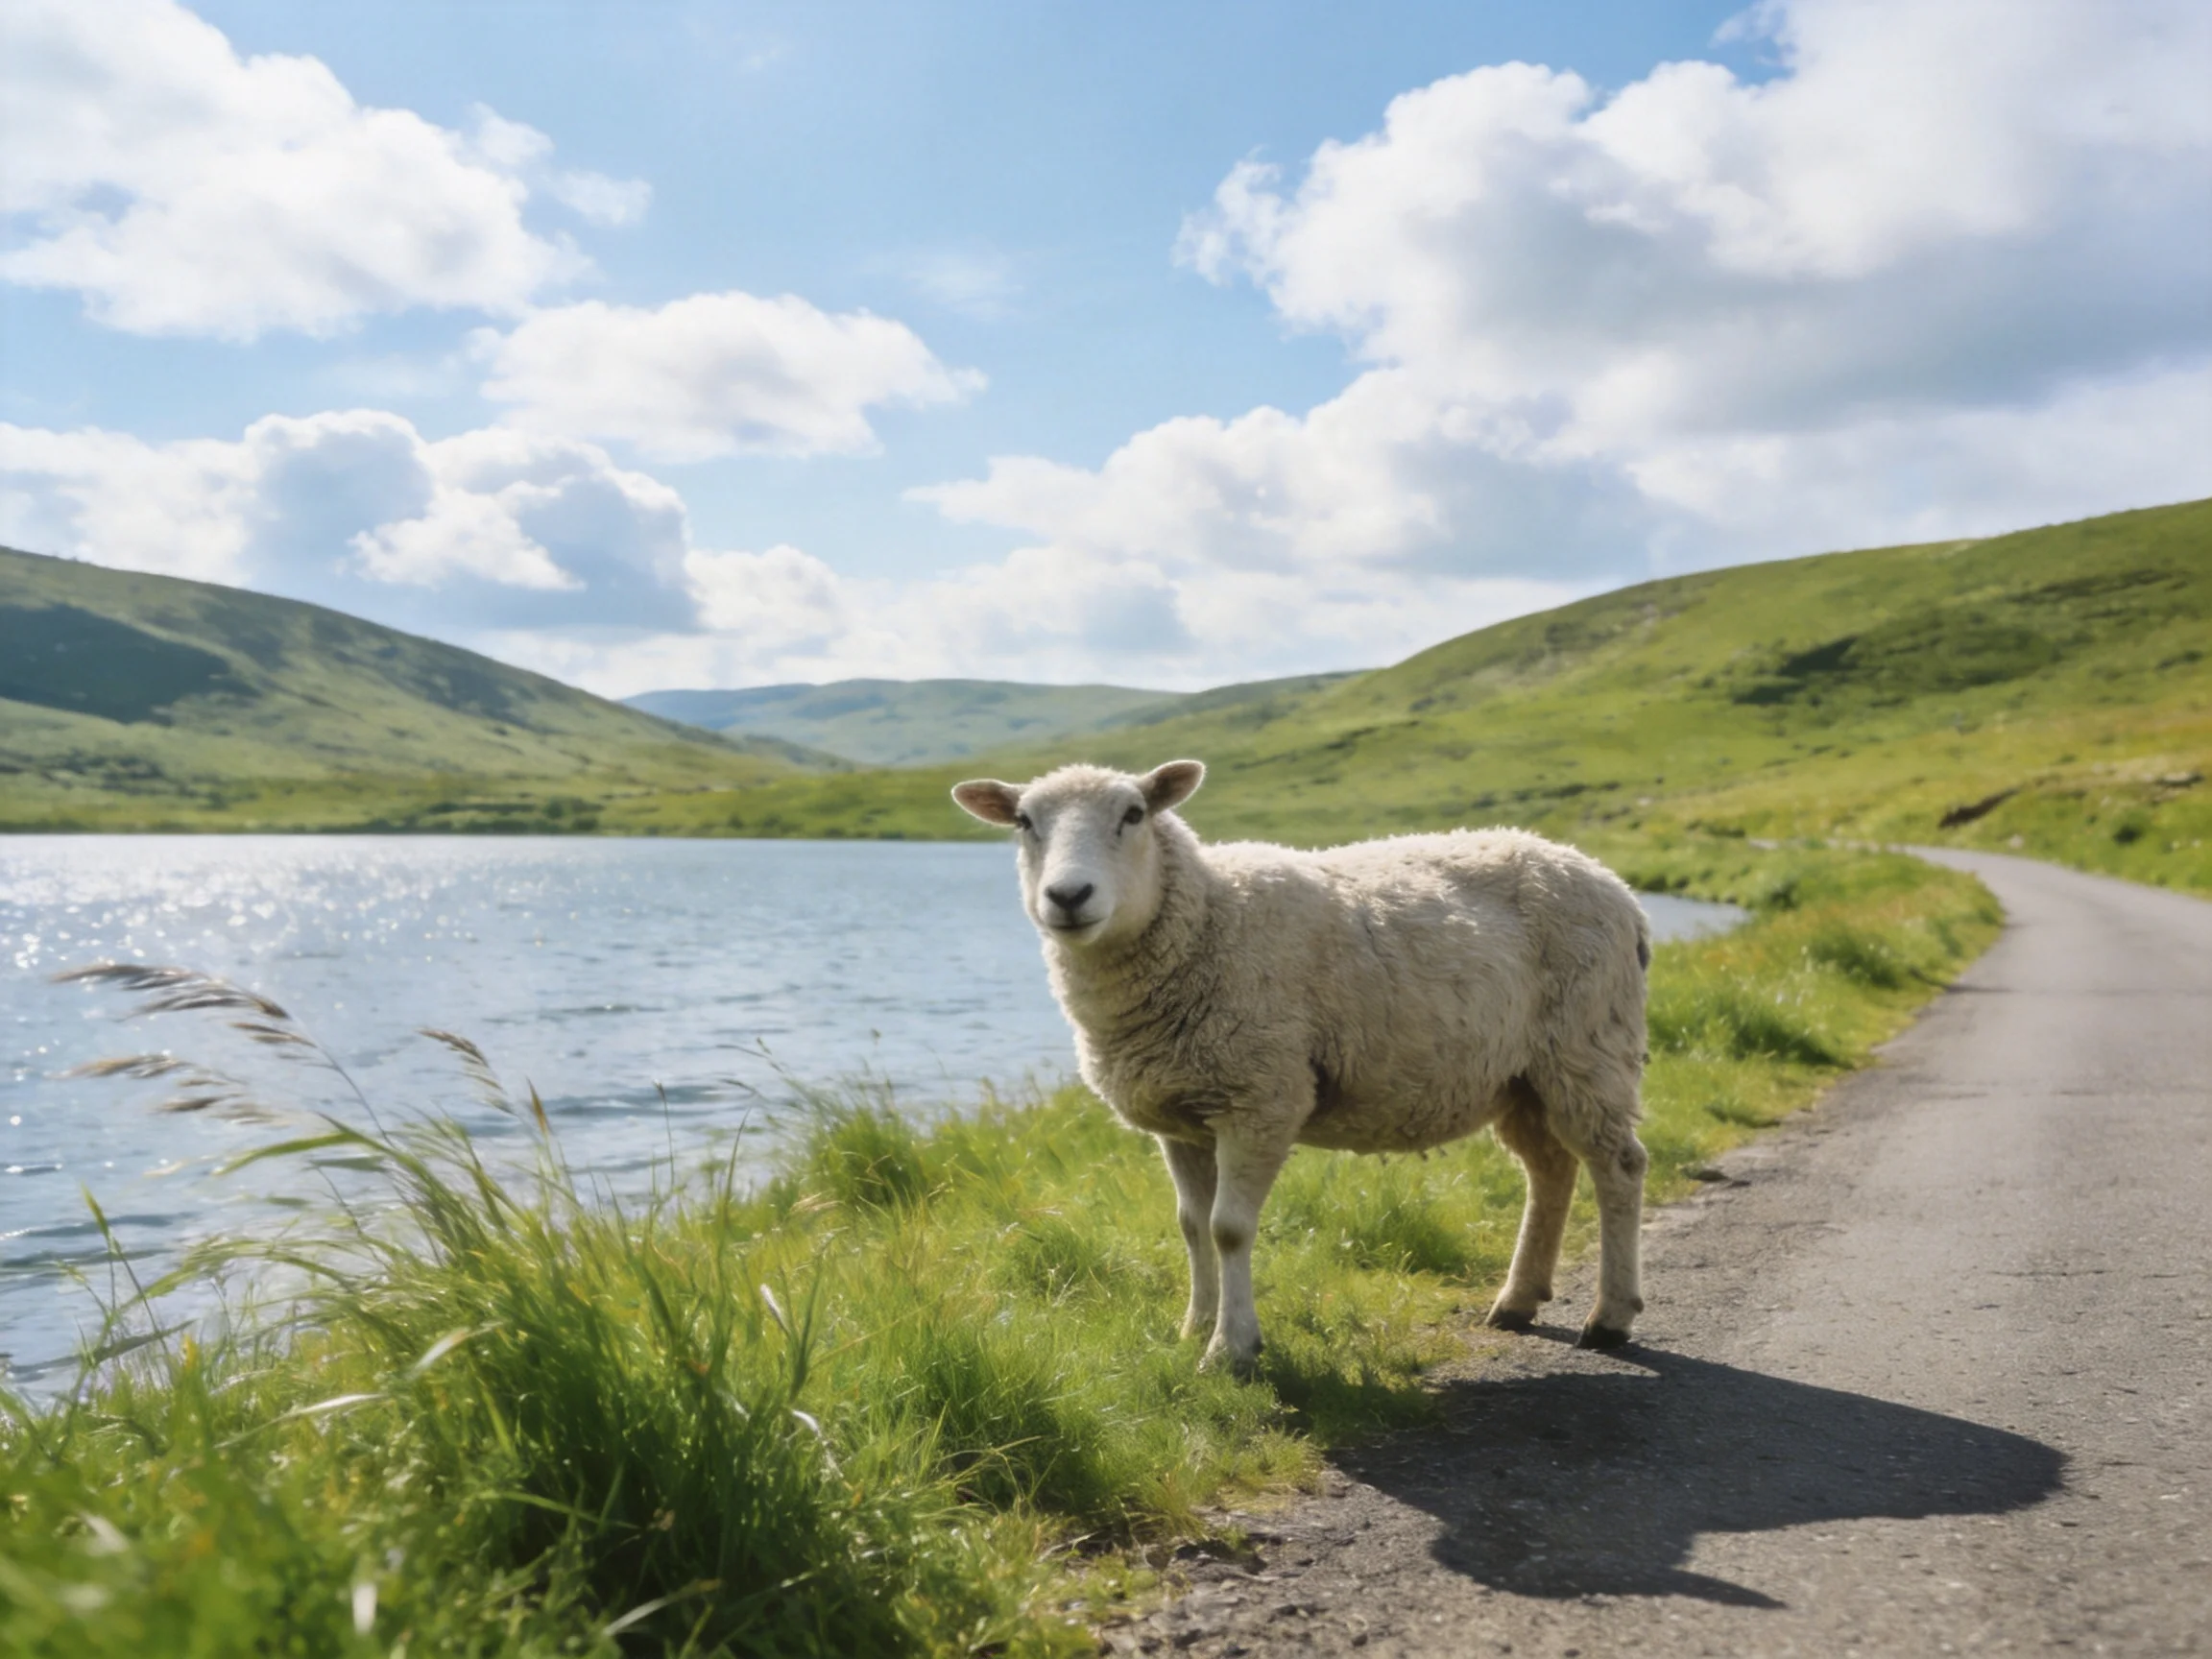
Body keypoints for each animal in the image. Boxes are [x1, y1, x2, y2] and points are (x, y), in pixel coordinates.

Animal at [952, 757, 1651, 1377]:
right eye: (1024, 821)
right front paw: (1194, 1327)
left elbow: (1229, 1229)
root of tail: (1612, 883)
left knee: (1618, 1165)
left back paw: (1610, 1316)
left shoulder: (1261, 1096)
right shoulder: (1181, 1114)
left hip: (1588, 1046)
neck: (1208, 919)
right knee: (1551, 1168)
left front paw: (1232, 1350)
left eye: (1133, 814)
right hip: (1520, 1076)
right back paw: (1517, 1300)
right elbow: (1190, 1227)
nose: (1068, 896)